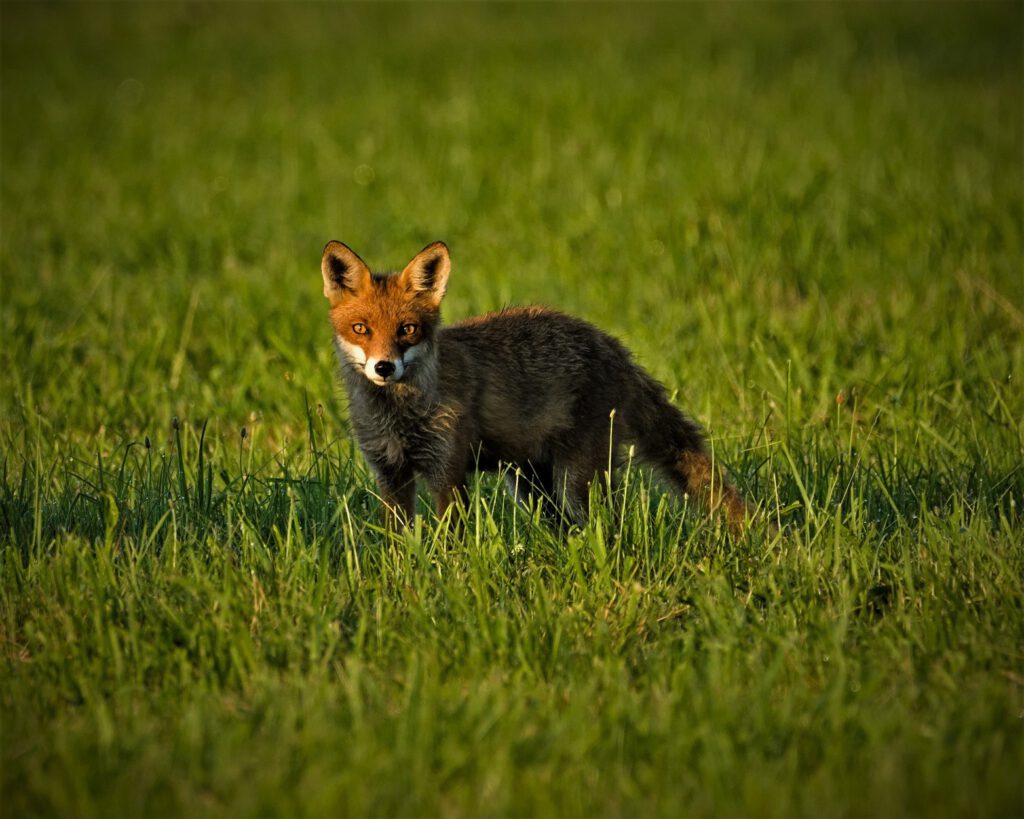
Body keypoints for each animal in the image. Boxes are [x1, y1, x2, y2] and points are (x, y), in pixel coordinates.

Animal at [319, 238, 753, 532]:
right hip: (532, 483)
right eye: (361, 329)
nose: (384, 367)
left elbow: (449, 539)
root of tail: (612, 346)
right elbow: (397, 541)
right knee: (564, 528)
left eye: (407, 329)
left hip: (578, 480)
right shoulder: (390, 474)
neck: (399, 416)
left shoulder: (448, 471)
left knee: (607, 525)